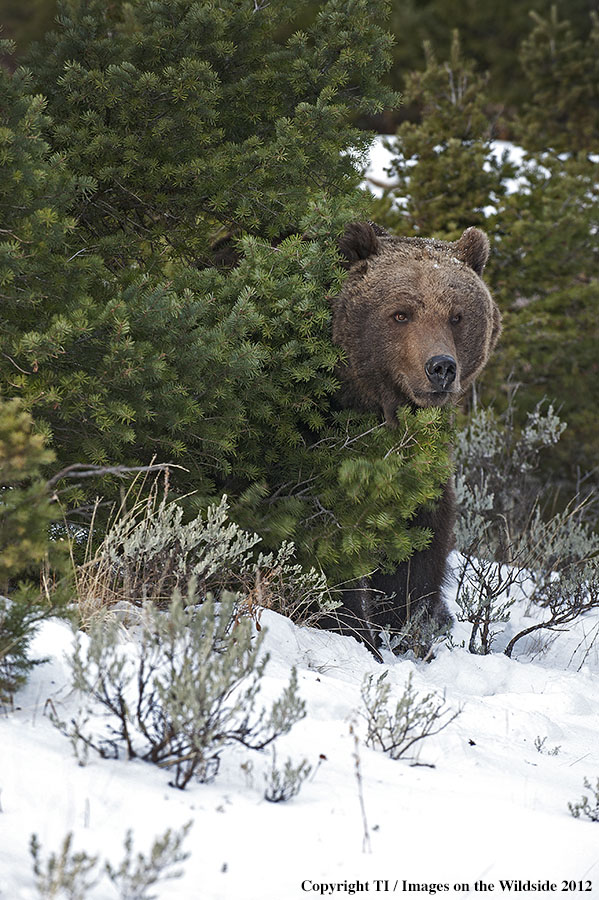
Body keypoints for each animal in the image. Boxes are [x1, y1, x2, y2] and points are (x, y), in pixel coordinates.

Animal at [328, 218, 502, 652]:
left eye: (456, 316)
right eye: (400, 313)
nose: (441, 368)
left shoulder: (421, 457)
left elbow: (419, 537)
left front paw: (413, 626)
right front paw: (348, 629)